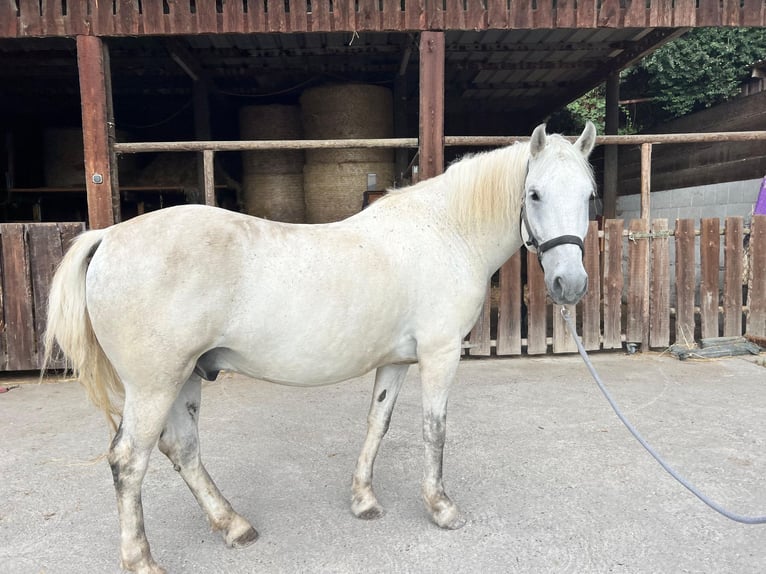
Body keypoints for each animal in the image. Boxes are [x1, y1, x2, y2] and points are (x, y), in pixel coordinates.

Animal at [43, 122, 600, 574]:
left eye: (589, 196)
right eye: (534, 194)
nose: (570, 285)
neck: (446, 232)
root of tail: (109, 236)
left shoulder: (396, 363)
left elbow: (378, 424)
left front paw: (364, 500)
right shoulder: (440, 355)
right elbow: (434, 430)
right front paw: (441, 508)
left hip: (182, 379)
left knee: (182, 449)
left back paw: (233, 525)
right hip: (155, 385)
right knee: (128, 461)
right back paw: (142, 560)